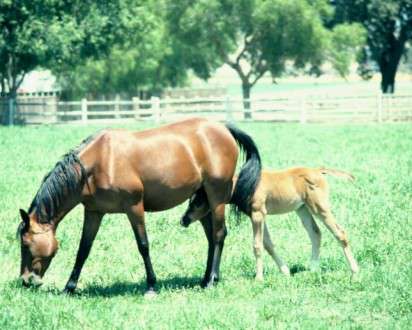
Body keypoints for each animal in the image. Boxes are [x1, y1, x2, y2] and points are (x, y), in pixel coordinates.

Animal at [17, 118, 262, 294]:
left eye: (25, 245)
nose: (26, 281)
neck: (98, 162)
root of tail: (223, 128)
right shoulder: (94, 212)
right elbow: (83, 249)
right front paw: (69, 287)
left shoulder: (134, 207)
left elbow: (143, 245)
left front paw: (151, 285)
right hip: (203, 202)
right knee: (211, 237)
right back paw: (204, 279)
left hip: (216, 195)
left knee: (219, 234)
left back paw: (212, 280)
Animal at [182, 169, 358, 280]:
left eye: (198, 202)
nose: (183, 220)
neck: (244, 185)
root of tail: (319, 170)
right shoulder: (260, 217)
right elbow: (268, 244)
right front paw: (285, 271)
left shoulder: (258, 214)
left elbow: (257, 245)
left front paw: (259, 278)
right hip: (302, 209)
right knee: (315, 233)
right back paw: (313, 268)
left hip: (319, 207)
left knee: (339, 232)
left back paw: (355, 271)